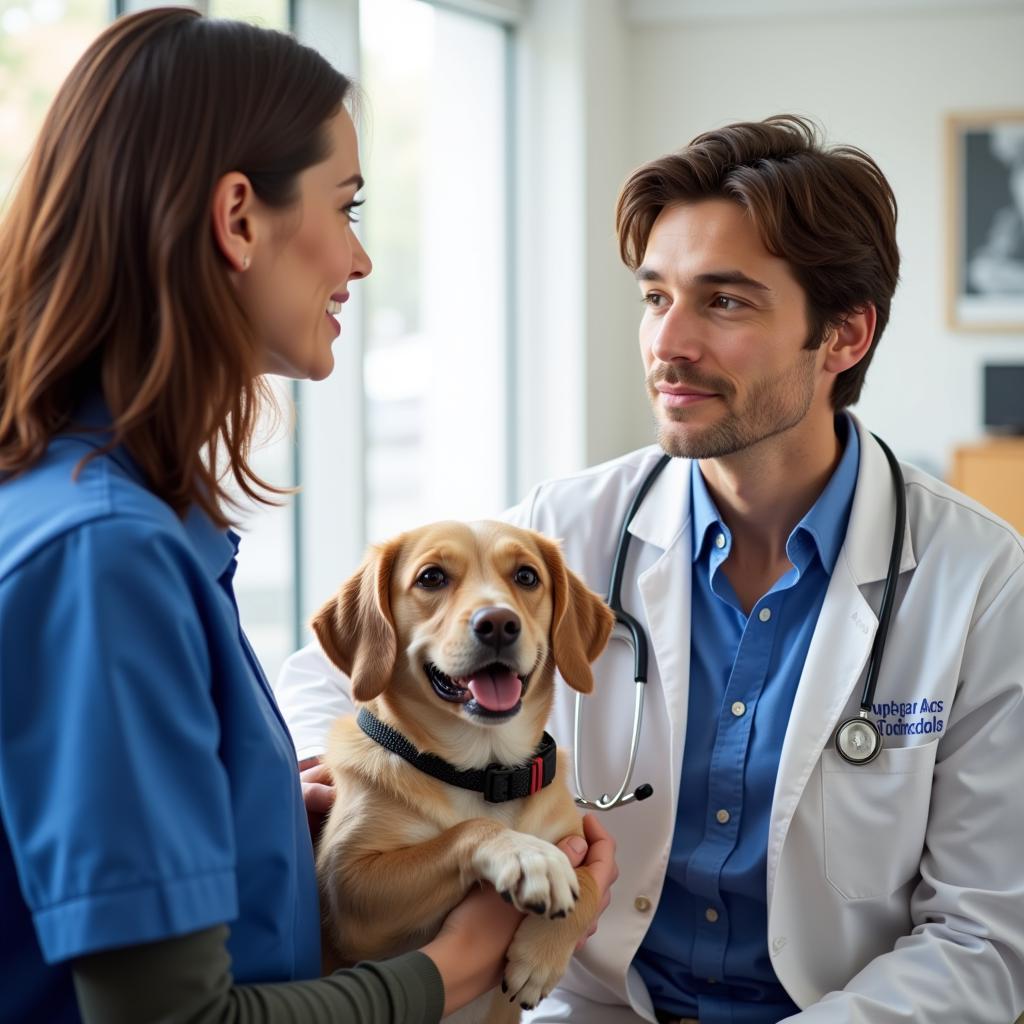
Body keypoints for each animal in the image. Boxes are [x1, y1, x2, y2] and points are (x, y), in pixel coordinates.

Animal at [311, 524, 610, 1019]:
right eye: (431, 577)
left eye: (526, 576)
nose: (499, 623)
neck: (483, 771)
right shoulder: (349, 890)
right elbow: (469, 830)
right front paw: (527, 855)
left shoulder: (577, 839)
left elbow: (583, 875)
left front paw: (540, 956)